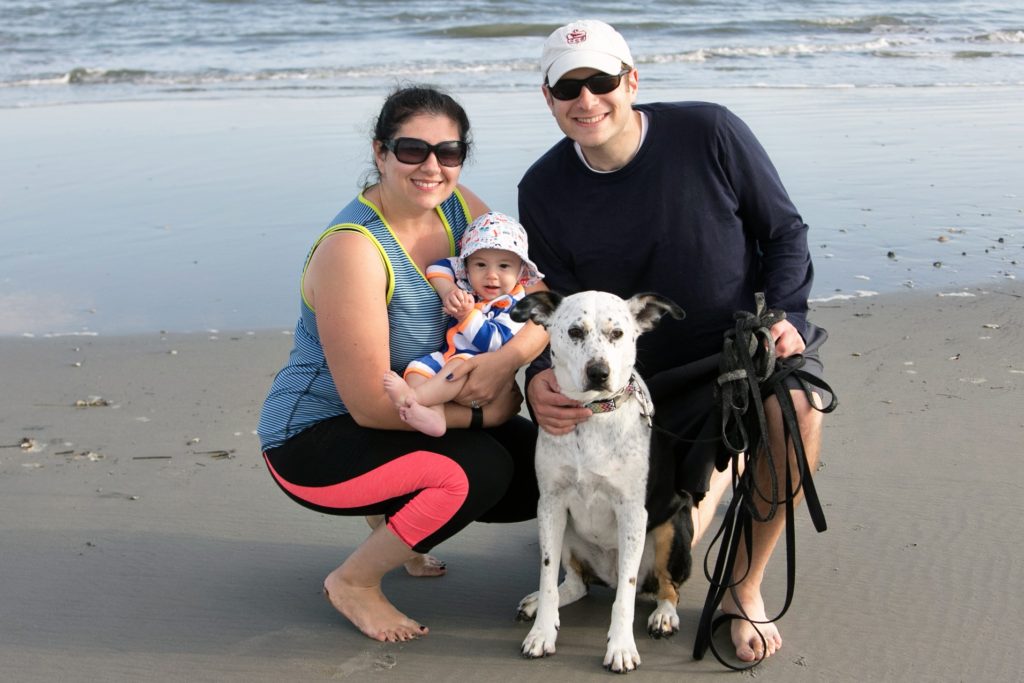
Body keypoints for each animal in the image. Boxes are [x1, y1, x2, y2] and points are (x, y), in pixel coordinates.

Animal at [512, 290, 696, 671]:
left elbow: (625, 595)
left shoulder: (633, 513)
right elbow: (547, 575)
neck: (592, 414)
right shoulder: (550, 504)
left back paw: (664, 616)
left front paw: (621, 647)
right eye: (574, 331)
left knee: (668, 587)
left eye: (618, 334)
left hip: (672, 524)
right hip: (567, 532)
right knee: (576, 583)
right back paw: (541, 603)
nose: (599, 372)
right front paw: (542, 633)